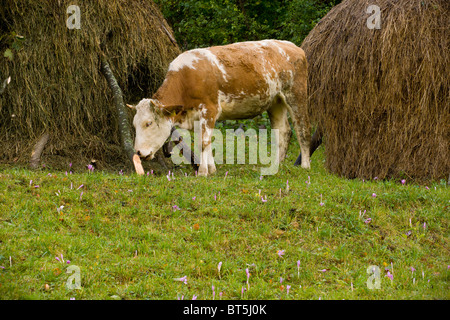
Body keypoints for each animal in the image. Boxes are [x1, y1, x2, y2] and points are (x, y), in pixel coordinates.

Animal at [126, 39, 310, 176]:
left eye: (148, 123)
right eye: (134, 124)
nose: (138, 152)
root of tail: (293, 47)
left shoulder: (209, 109)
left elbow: (203, 141)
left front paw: (202, 172)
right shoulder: (198, 116)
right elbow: (204, 141)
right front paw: (211, 169)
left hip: (296, 94)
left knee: (302, 130)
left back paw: (305, 165)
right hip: (275, 101)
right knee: (283, 131)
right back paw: (278, 164)